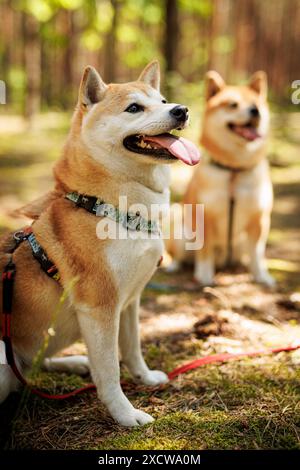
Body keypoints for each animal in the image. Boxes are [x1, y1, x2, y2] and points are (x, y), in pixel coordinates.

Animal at [0, 61, 202, 426]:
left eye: (163, 100)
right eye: (134, 108)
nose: (181, 110)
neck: (107, 207)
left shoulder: (130, 300)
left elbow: (132, 349)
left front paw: (145, 378)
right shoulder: (100, 307)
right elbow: (109, 371)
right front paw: (125, 414)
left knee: (34, 362)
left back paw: (72, 362)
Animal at [166, 70, 274, 286]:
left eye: (256, 103)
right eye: (233, 104)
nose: (255, 111)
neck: (234, 169)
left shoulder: (260, 219)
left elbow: (258, 253)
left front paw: (261, 276)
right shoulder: (205, 218)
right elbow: (205, 252)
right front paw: (205, 276)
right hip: (178, 224)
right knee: (177, 255)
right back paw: (175, 266)